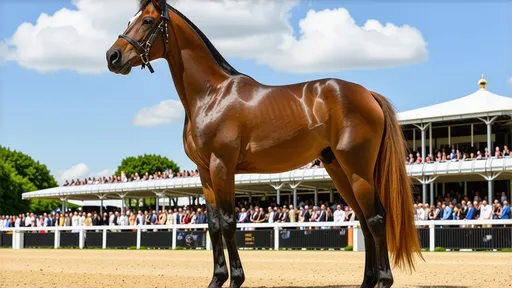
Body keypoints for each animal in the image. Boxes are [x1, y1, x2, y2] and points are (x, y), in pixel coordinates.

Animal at [106, 0, 422, 288]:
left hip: (358, 170)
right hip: (339, 170)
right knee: (364, 222)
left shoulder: (222, 167)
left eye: (147, 21)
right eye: (130, 19)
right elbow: (213, 225)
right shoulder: (205, 173)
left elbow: (228, 222)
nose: (112, 56)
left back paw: (384, 280)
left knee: (377, 218)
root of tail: (367, 94)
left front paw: (235, 279)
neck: (211, 95)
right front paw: (217, 279)